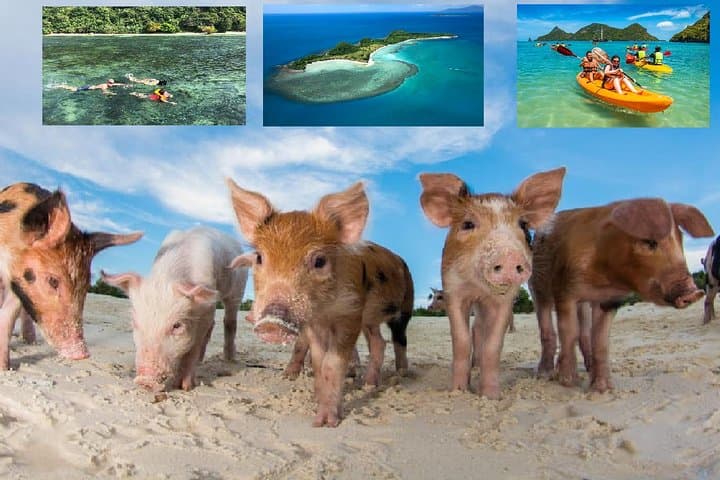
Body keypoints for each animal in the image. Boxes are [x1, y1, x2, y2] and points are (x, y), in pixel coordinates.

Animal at [0, 183, 142, 368]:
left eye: (86, 285)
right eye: (53, 281)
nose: (82, 354)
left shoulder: (18, 286)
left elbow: (8, 316)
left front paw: (5, 368)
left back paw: (31, 341)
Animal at [102, 227, 247, 392]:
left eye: (176, 326)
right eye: (135, 323)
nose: (145, 381)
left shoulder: (206, 308)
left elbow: (193, 346)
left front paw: (185, 387)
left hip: (238, 289)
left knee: (229, 321)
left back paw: (229, 360)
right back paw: (202, 360)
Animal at [227, 179, 413, 427]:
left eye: (320, 261)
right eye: (258, 257)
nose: (272, 321)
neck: (325, 312)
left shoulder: (351, 313)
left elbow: (332, 363)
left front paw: (325, 423)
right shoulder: (315, 324)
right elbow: (317, 360)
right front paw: (315, 404)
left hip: (405, 306)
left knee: (399, 339)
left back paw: (401, 375)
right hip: (370, 320)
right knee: (378, 343)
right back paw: (369, 384)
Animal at [419, 167, 566, 399]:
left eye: (523, 225)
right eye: (468, 224)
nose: (510, 257)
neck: (478, 287)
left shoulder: (505, 299)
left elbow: (494, 344)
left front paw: (490, 397)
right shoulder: (453, 289)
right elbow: (461, 340)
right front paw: (458, 391)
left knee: (480, 327)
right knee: (476, 328)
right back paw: (474, 367)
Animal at [530, 198, 714, 393]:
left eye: (680, 239)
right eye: (650, 242)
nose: (695, 292)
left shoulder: (610, 301)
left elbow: (601, 341)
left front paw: (603, 389)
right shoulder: (564, 289)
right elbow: (568, 332)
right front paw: (569, 383)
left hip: (583, 303)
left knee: (584, 333)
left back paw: (587, 368)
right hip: (537, 286)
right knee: (547, 326)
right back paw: (544, 375)